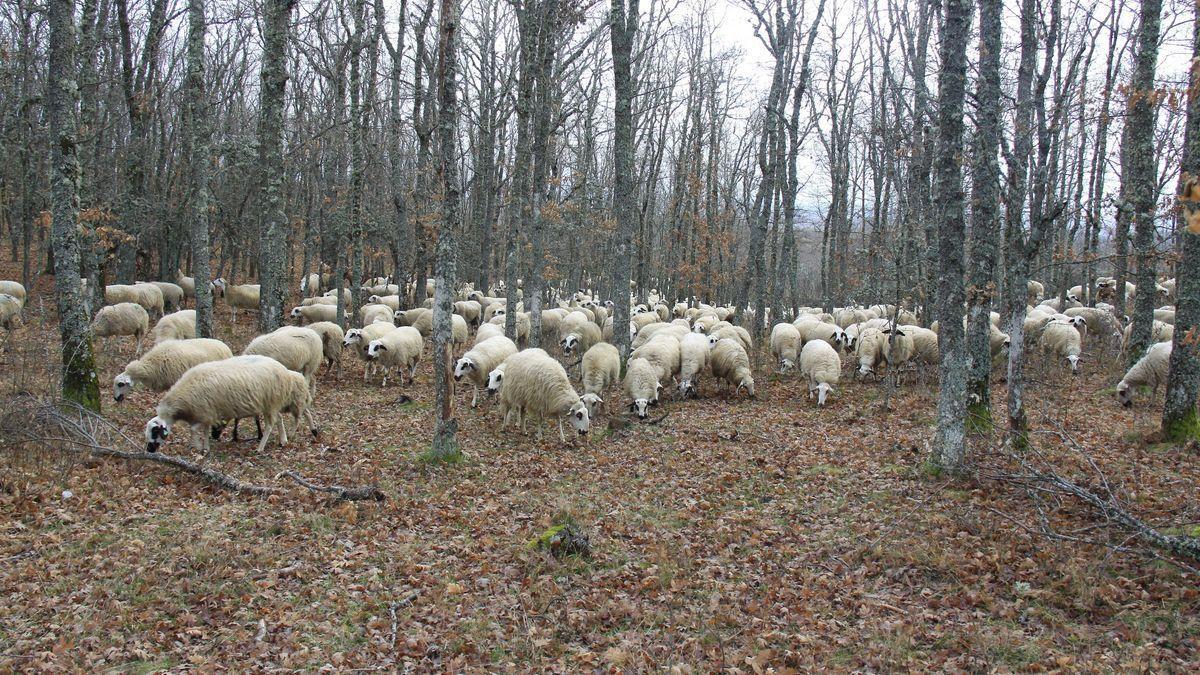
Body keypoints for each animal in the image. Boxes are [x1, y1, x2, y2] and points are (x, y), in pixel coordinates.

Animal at [143, 355, 315, 455]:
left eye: (155, 432)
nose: (149, 450)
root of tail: (285, 371)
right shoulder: (206, 414)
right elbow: (204, 430)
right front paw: (205, 448)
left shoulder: (205, 412)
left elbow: (194, 430)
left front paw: (199, 447)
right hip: (271, 404)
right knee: (279, 419)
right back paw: (283, 441)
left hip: (271, 402)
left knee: (270, 424)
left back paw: (260, 447)